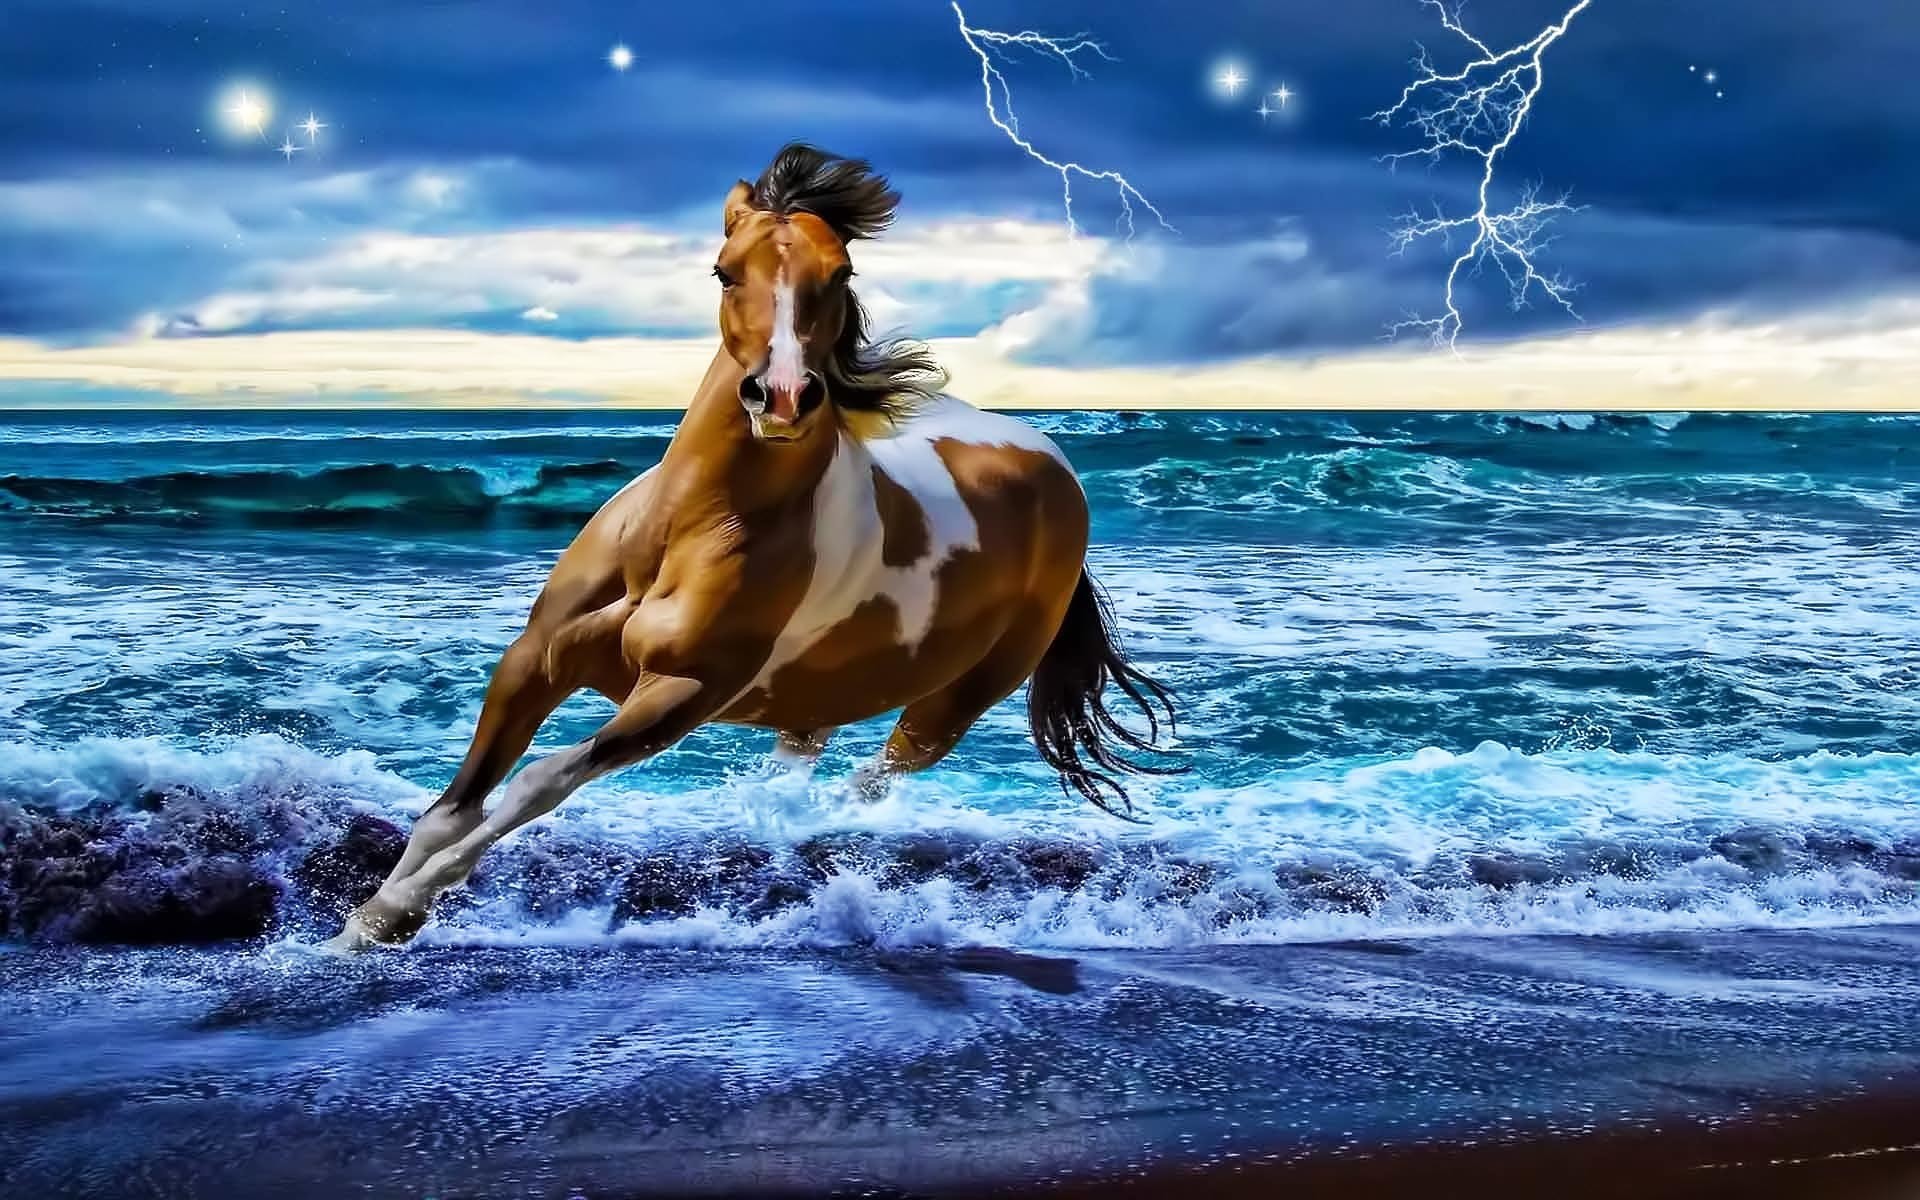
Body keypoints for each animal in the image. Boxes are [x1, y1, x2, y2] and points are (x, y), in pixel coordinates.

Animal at [331, 143, 1177, 950]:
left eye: (840, 273)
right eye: (724, 270)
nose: (783, 396)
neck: (686, 532)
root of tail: (1053, 466)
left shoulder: (681, 694)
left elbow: (538, 782)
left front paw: (390, 916)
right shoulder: (534, 659)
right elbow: (452, 809)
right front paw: (354, 927)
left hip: (955, 701)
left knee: (871, 779)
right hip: (820, 694)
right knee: (801, 764)